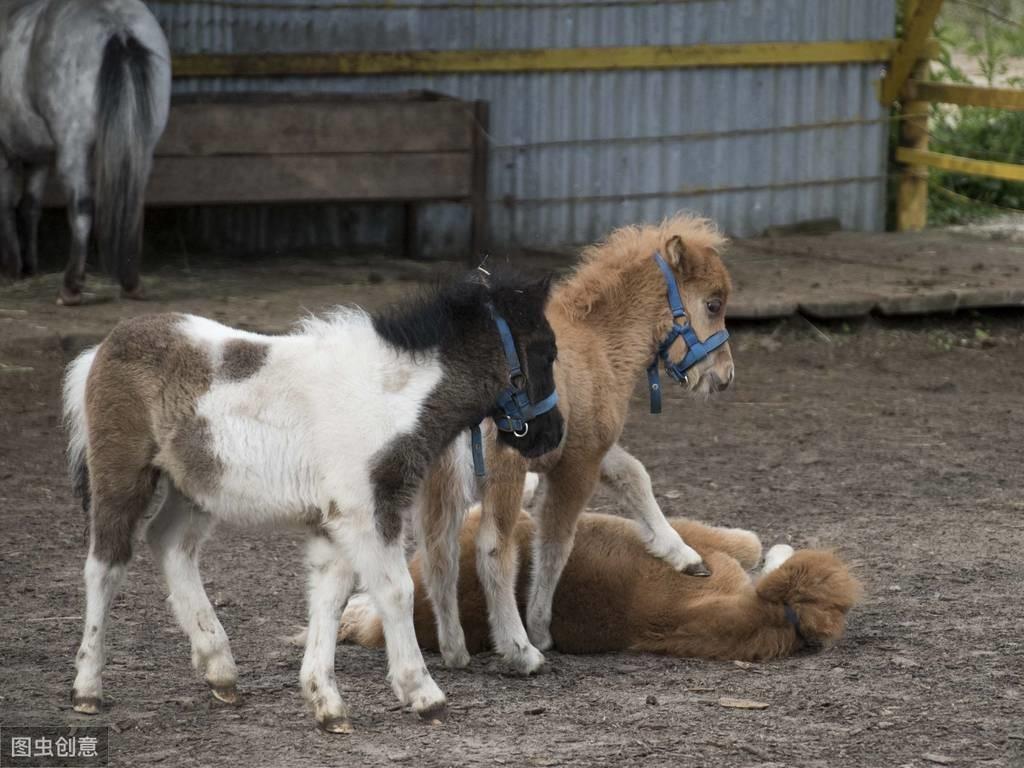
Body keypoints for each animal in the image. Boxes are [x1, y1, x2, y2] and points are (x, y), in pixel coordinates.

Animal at [0, 0, 169, 307]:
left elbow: (6, 204)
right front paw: (29, 267)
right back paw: (131, 283)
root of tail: (118, 27)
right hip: (143, 148)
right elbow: (30, 206)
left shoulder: (7, 153)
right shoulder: (39, 158)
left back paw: (70, 287)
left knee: (81, 208)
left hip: (74, 146)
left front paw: (11, 269)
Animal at [61, 274, 569, 733]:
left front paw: (327, 704)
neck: (387, 396)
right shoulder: (368, 513)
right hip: (122, 477)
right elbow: (396, 591)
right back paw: (88, 688)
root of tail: (100, 349)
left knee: (169, 544)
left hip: (193, 489)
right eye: (546, 350)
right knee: (104, 565)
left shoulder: (336, 522)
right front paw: (423, 694)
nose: (551, 435)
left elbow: (331, 597)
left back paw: (219, 668)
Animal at [415, 211, 737, 671]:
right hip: (503, 472)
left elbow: (634, 475)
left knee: (438, 548)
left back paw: (454, 649)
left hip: (439, 477)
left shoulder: (589, 447)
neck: (599, 343)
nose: (724, 377)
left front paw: (682, 553)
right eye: (713, 304)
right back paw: (519, 650)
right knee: (492, 548)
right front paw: (540, 628)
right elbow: (555, 541)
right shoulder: (577, 464)